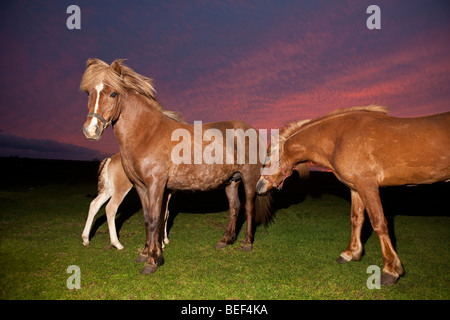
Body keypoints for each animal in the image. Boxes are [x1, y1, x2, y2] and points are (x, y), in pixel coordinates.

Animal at [80, 58, 270, 274]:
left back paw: (247, 243)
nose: (91, 130)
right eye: (89, 93)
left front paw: (152, 260)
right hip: (231, 181)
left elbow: (155, 220)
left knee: (248, 208)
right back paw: (225, 240)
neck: (147, 133)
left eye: (113, 93)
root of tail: (253, 131)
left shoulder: (156, 185)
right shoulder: (141, 187)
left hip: (249, 179)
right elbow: (147, 219)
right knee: (234, 208)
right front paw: (146, 253)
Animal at [256, 106, 450, 286]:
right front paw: (350, 253)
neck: (338, 138)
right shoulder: (356, 188)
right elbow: (356, 219)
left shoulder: (368, 186)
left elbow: (379, 223)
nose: (259, 187)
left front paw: (390, 270)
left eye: (270, 160)